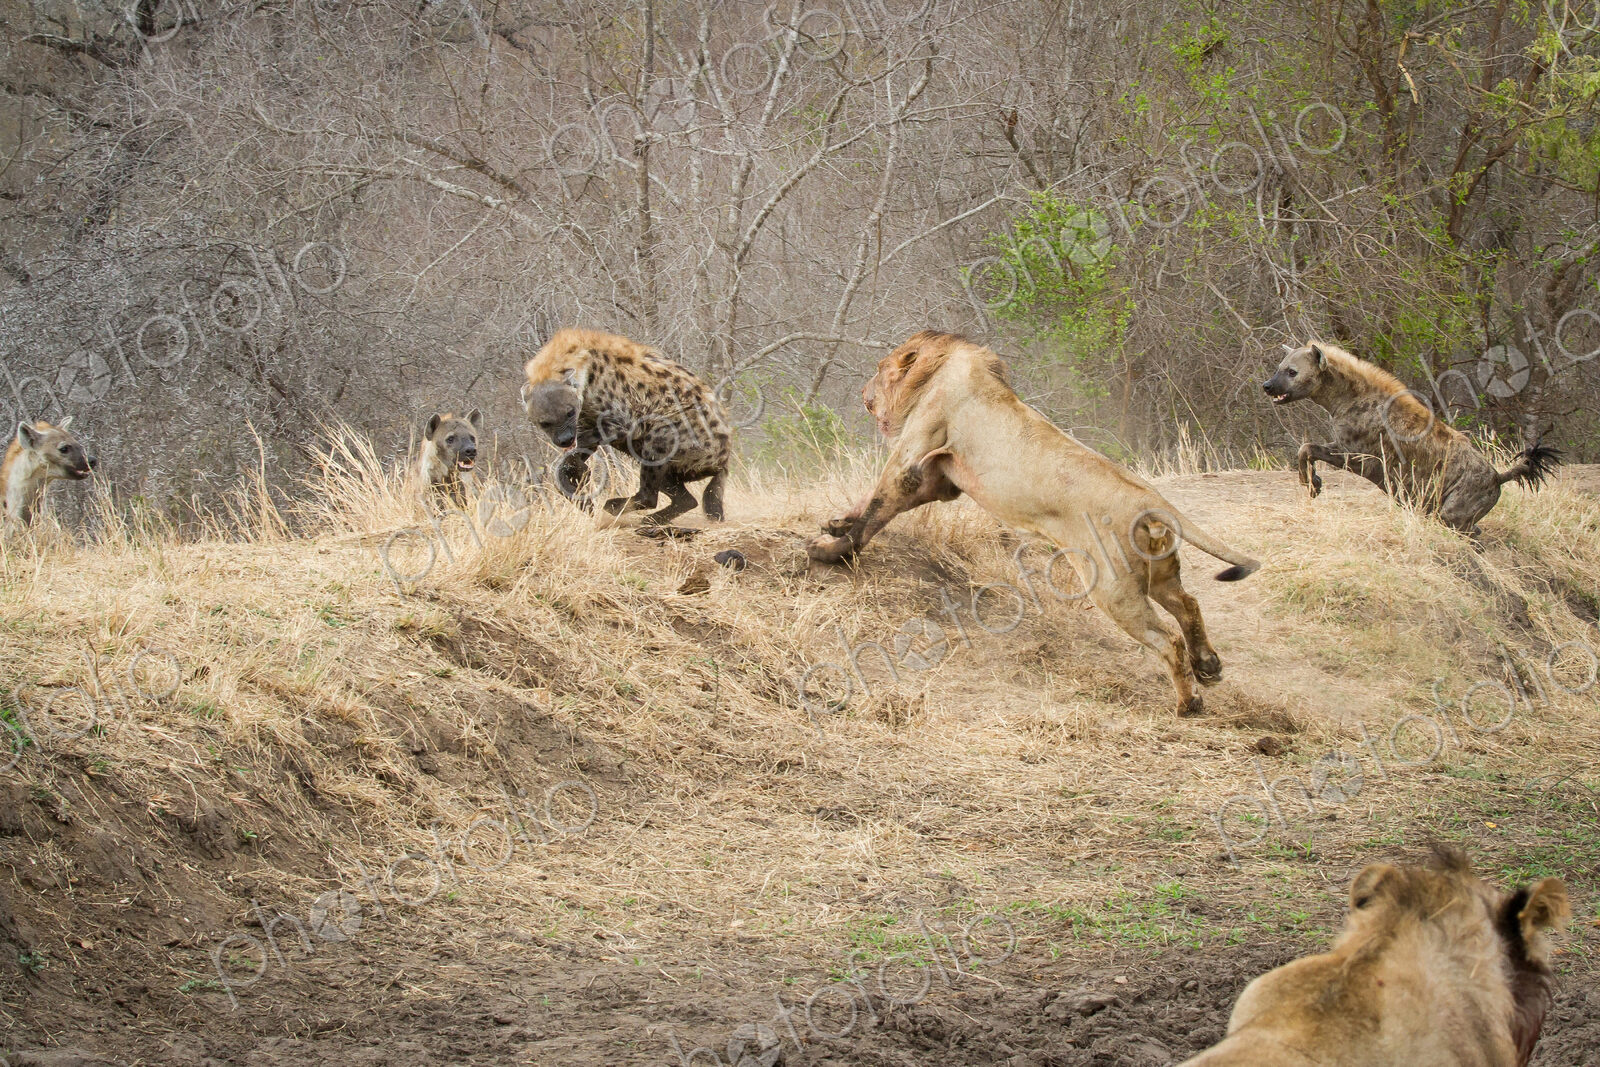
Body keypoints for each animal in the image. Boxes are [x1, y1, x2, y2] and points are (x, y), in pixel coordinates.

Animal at [806, 330, 1260, 716]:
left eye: (879, 369)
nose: (863, 393)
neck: (940, 367)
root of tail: (1152, 500)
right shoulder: (940, 479)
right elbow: (869, 503)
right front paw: (835, 523)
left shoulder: (913, 458)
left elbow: (876, 509)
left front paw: (831, 551)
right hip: (1157, 573)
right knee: (1189, 604)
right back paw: (1209, 666)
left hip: (1112, 588)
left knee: (1167, 639)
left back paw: (1189, 703)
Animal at [1263, 342, 1561, 534]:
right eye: (1278, 368)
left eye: (1292, 372)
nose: (1267, 385)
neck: (1345, 398)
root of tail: (1498, 476)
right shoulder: (1345, 445)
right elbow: (1307, 448)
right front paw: (1314, 482)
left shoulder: (1362, 456)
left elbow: (1307, 447)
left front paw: (1311, 484)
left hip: (1456, 507)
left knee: (1462, 528)